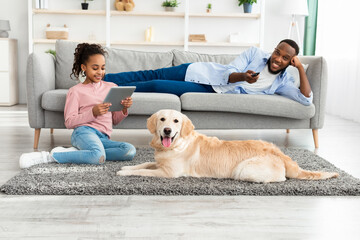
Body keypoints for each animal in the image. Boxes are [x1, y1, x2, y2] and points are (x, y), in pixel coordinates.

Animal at [116, 109, 338, 183]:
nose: (168, 130)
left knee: (281, 179)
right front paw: (127, 166)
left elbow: (144, 171)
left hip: (244, 170)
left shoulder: (168, 173)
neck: (175, 145)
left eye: (176, 121)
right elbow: (144, 164)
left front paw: (125, 172)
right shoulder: (160, 163)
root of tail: (281, 155)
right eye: (162, 119)